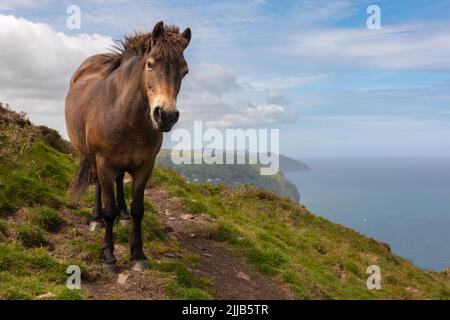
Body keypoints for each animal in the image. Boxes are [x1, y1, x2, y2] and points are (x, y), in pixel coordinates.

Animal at [64, 21, 190, 272]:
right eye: (150, 64)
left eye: (185, 71)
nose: (166, 116)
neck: (127, 116)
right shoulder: (104, 162)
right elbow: (108, 209)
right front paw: (108, 256)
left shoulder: (145, 166)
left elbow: (138, 209)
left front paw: (138, 254)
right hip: (93, 159)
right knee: (99, 186)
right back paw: (95, 219)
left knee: (120, 179)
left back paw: (122, 216)